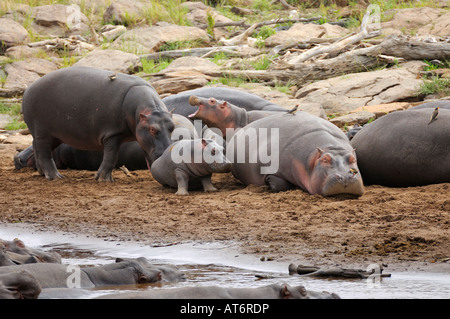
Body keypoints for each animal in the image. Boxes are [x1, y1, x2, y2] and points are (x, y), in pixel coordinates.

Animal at [22, 66, 175, 181]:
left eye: (172, 127)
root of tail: (28, 89)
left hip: (54, 135)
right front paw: (103, 179)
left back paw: (42, 173)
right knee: (44, 153)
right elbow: (111, 156)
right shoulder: (112, 134)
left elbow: (148, 155)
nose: (166, 153)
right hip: (43, 132)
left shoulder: (141, 137)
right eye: (153, 130)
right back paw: (55, 177)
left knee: (35, 147)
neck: (148, 111)